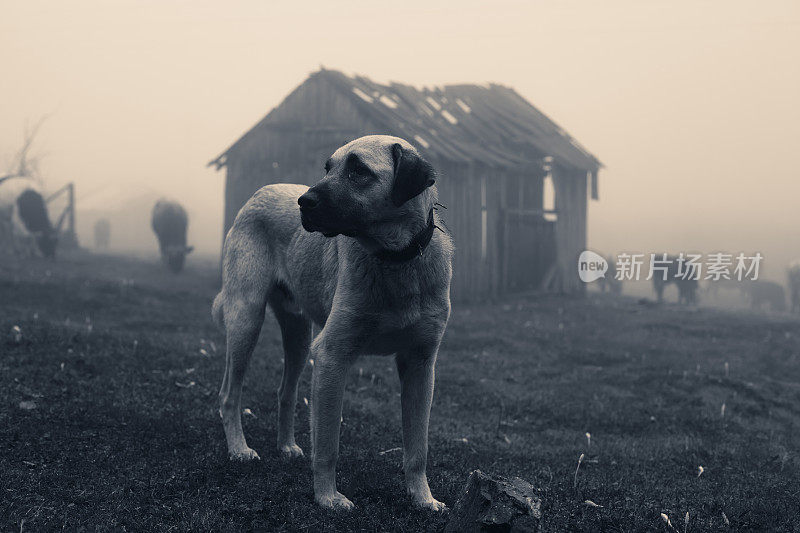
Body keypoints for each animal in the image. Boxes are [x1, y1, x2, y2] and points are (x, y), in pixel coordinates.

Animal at [209, 135, 454, 510]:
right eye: (328, 168)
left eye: (359, 171)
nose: (304, 202)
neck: (395, 260)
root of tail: (259, 193)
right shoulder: (331, 357)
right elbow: (327, 445)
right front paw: (327, 498)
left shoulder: (420, 365)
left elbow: (418, 448)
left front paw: (423, 499)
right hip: (245, 319)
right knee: (228, 395)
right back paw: (239, 449)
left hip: (298, 335)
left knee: (285, 392)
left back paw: (286, 446)